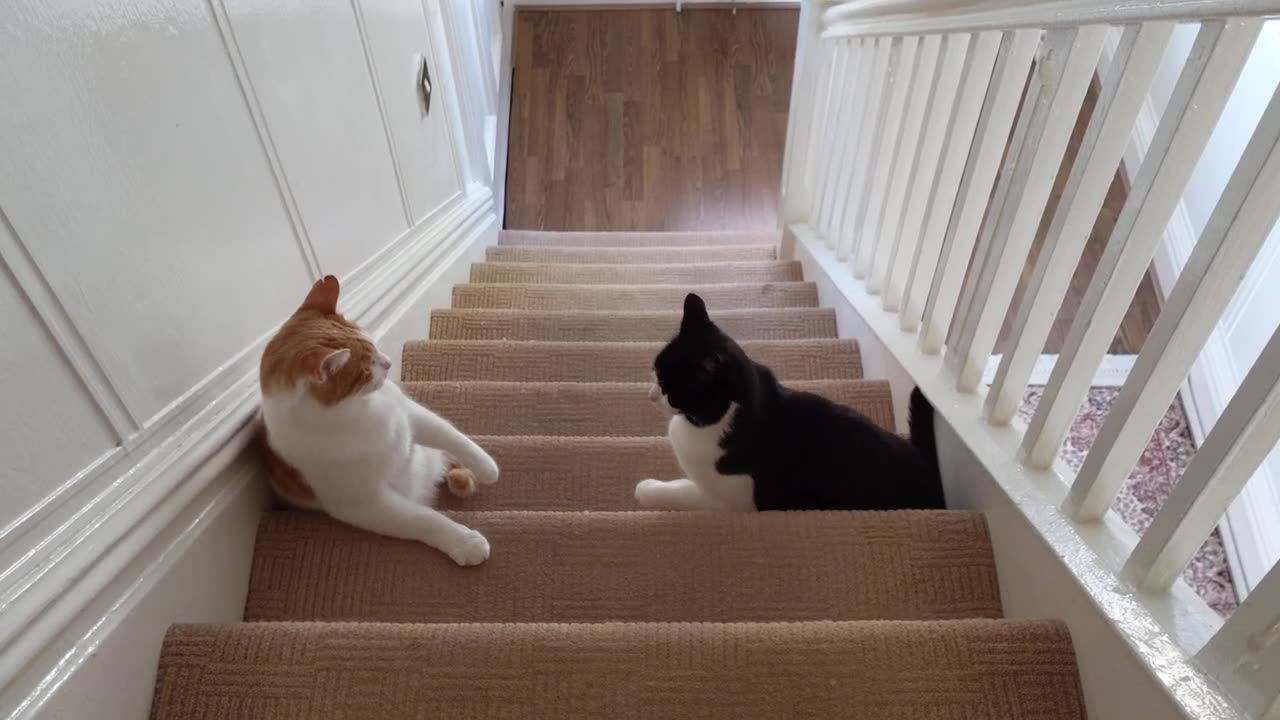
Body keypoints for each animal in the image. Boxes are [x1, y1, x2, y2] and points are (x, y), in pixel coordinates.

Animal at [257, 271, 496, 563]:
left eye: (373, 342)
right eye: (365, 370)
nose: (389, 363)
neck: (357, 410)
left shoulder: (409, 415)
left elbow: (452, 435)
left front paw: (487, 467)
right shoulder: (366, 503)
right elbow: (423, 519)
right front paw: (464, 541)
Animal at [637, 292, 947, 509]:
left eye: (669, 386)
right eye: (655, 369)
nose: (650, 396)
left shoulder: (734, 499)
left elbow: (683, 490)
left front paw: (645, 488)